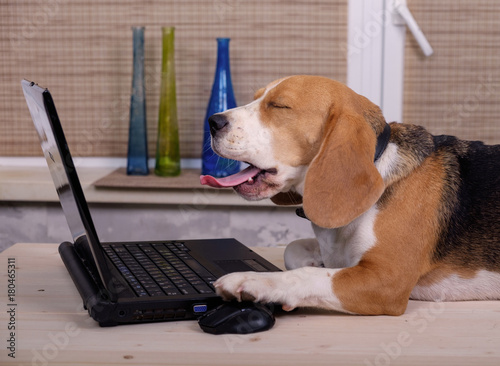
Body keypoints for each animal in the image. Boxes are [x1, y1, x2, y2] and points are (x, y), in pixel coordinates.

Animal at [199, 74, 500, 314]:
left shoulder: (387, 280)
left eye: (279, 105)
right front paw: (317, 260)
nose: (212, 121)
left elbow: (308, 276)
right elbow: (293, 248)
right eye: (257, 99)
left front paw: (255, 281)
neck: (379, 162)